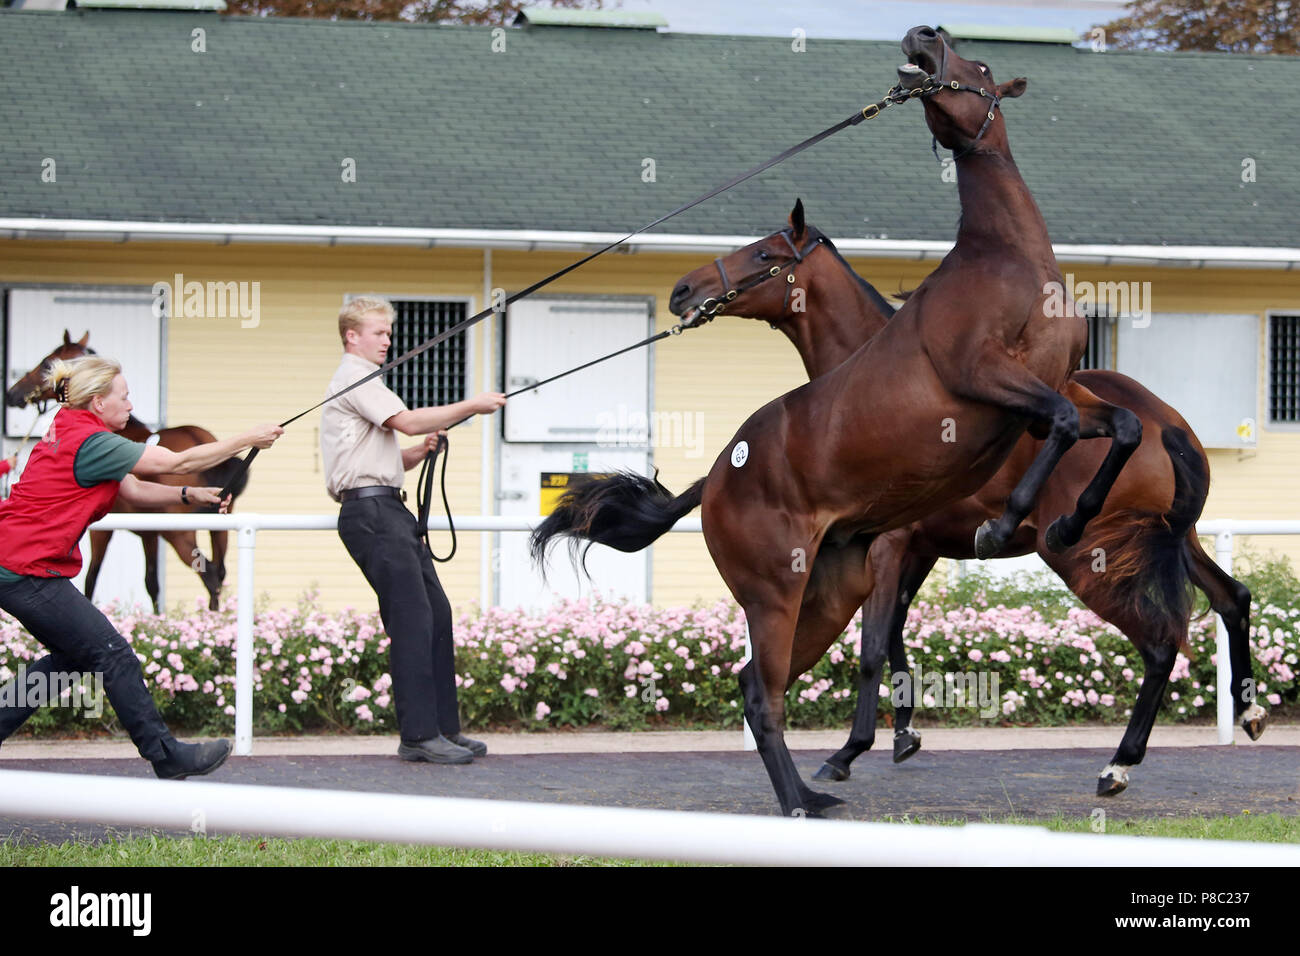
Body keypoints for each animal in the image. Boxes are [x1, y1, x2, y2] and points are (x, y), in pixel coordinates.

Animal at [3, 332, 246, 608]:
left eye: (47, 363)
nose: (13, 393)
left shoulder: (103, 531)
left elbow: (91, 578)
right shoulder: (149, 534)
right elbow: (152, 583)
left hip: (180, 534)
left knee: (211, 577)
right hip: (218, 530)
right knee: (220, 573)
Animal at [538, 33, 1149, 816]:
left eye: (977, 67)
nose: (923, 37)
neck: (1005, 262)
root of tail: (719, 473)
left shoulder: (1045, 392)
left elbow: (1116, 424)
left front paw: (1065, 517)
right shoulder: (986, 383)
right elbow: (1068, 421)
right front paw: (1003, 523)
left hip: (828, 593)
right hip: (778, 594)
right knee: (761, 693)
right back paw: (804, 797)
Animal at [670, 197, 1268, 796]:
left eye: (763, 254)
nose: (683, 290)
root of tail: (1166, 425)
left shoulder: (888, 545)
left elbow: (871, 648)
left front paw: (848, 751)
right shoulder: (919, 550)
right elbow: (895, 633)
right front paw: (903, 734)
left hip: (1088, 559)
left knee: (1160, 644)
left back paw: (1119, 763)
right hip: (1174, 541)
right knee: (1232, 598)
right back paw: (1248, 710)